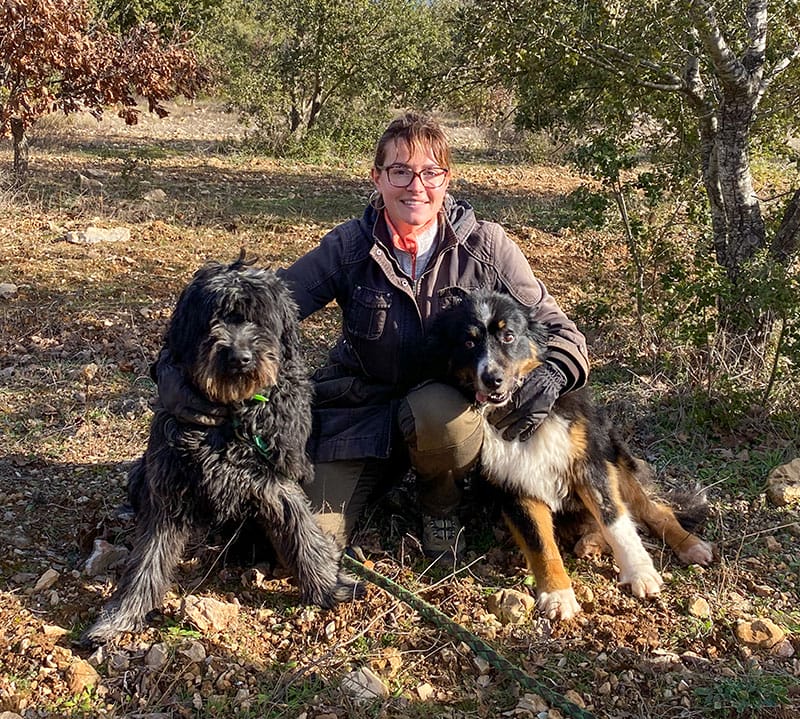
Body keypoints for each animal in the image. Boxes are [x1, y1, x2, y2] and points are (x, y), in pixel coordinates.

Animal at [83, 255, 360, 648]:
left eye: (258, 318)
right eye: (213, 318)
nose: (240, 358)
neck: (232, 413)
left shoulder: (274, 481)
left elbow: (302, 533)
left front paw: (328, 587)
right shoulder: (170, 486)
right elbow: (147, 560)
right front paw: (121, 615)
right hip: (142, 473)